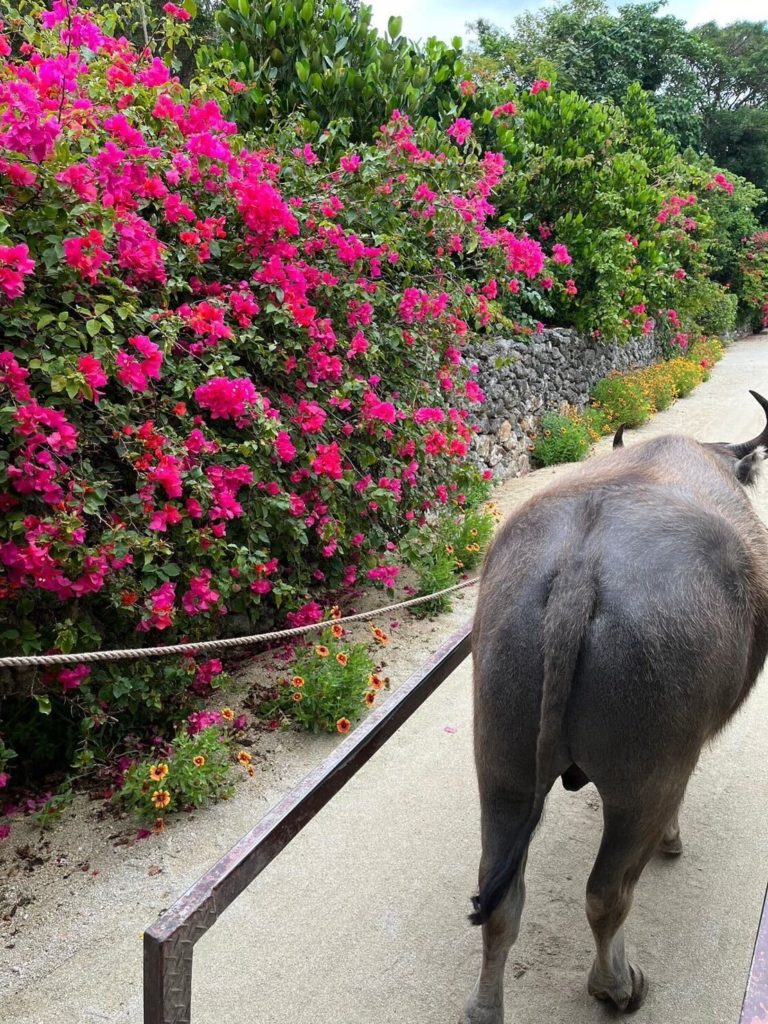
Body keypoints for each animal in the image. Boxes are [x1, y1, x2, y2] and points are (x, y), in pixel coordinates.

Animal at [462, 391, 768, 1024]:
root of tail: (579, 570)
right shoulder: (679, 760)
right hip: (641, 781)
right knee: (608, 893)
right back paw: (617, 986)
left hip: (501, 766)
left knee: (500, 898)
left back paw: (485, 1007)